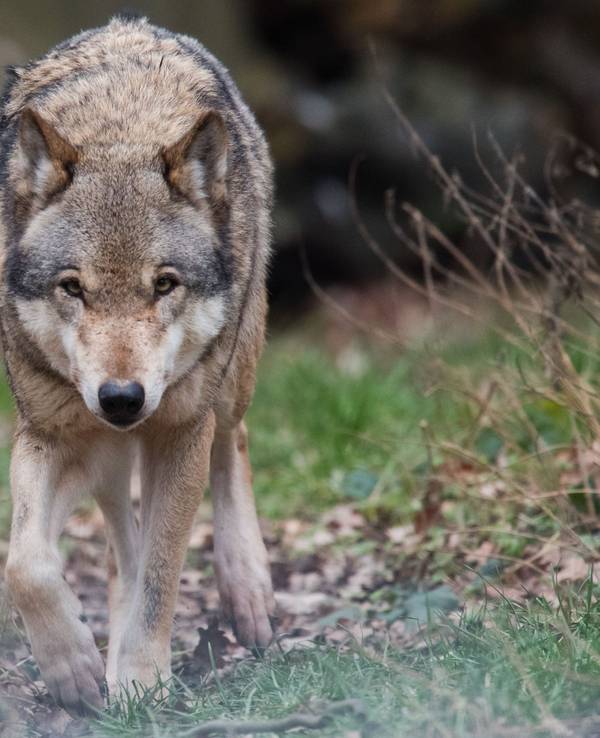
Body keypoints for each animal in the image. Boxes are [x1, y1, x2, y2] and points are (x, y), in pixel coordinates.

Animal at [0, 15, 275, 715]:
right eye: (73, 287)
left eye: (164, 284)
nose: (121, 397)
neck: (120, 128)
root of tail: (133, 24)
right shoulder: (52, 433)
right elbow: (26, 564)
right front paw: (73, 667)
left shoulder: (178, 432)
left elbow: (160, 573)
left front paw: (143, 679)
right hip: (106, 450)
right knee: (118, 540)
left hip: (228, 381)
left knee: (234, 442)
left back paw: (248, 590)